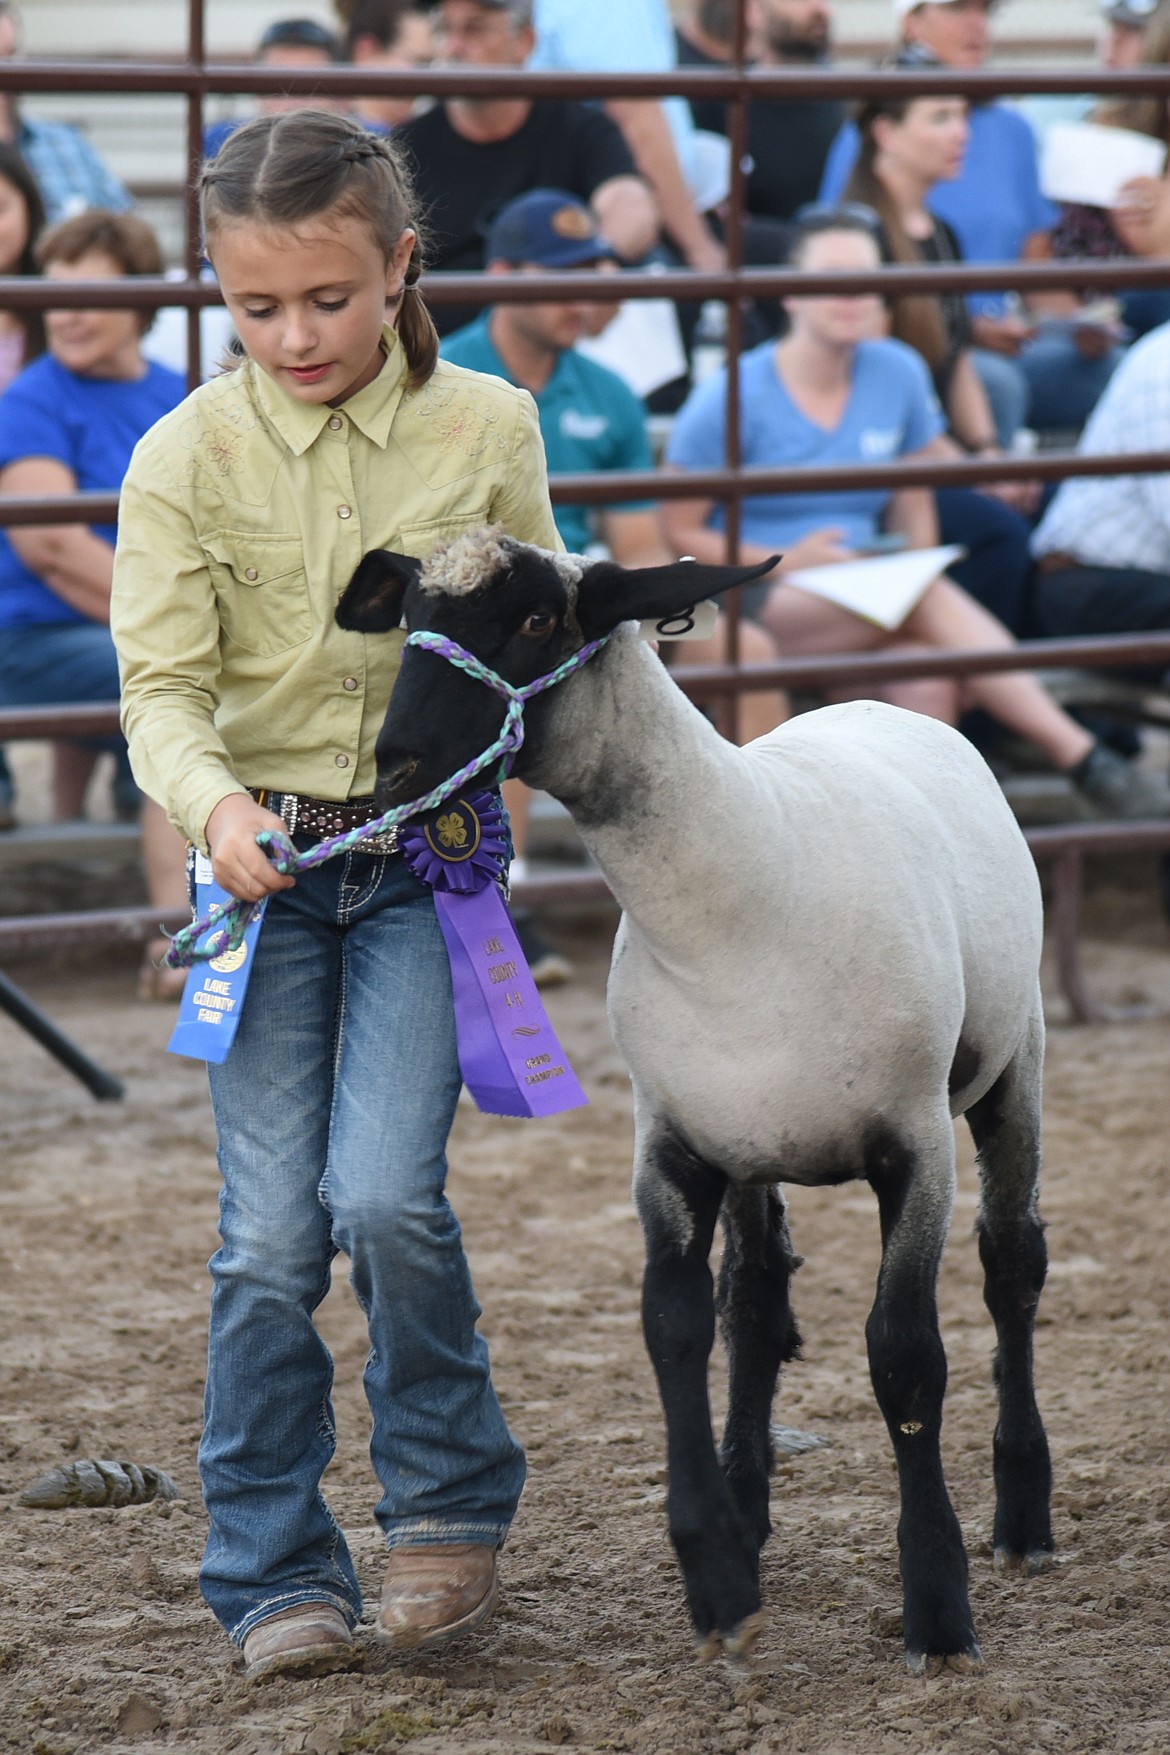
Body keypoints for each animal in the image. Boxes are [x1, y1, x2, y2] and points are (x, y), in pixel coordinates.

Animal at [333, 530, 1059, 1670]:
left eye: (538, 620)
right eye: (409, 617)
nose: (397, 767)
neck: (742, 891)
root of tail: (876, 702)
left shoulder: (911, 1146)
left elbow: (904, 1359)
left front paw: (939, 1607)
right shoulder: (672, 1144)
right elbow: (674, 1327)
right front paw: (716, 1571)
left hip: (1011, 1060)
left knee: (1011, 1268)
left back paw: (1024, 1517)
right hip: (756, 1141)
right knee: (755, 1304)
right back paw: (753, 1511)